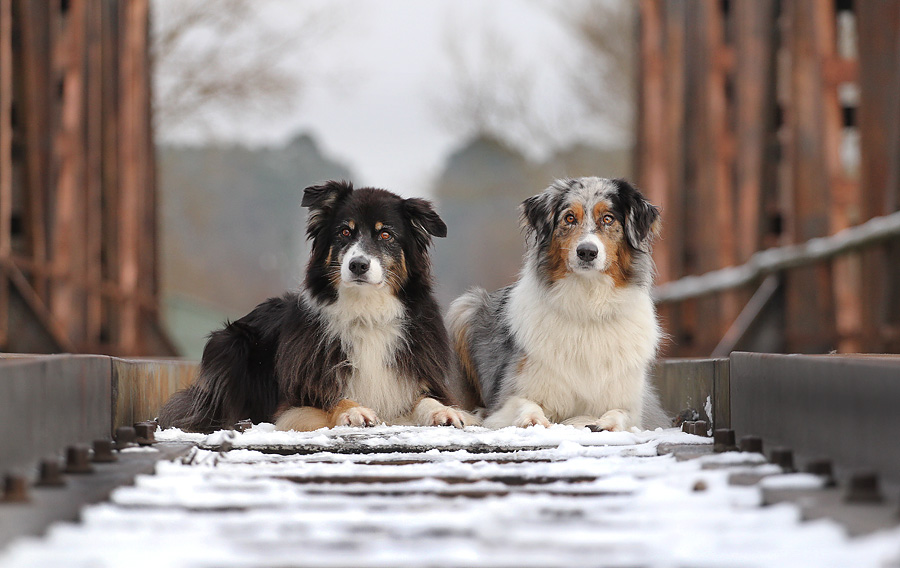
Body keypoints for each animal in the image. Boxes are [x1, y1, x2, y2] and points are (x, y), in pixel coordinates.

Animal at [160, 180, 478, 432]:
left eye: (386, 234)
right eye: (345, 232)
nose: (358, 265)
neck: (365, 311)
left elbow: (427, 399)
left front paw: (444, 411)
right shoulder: (292, 404)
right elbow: (332, 397)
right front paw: (353, 410)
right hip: (229, 342)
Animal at [450, 178, 668, 430]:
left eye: (608, 218)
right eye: (570, 218)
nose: (587, 252)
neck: (588, 304)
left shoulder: (631, 405)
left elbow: (621, 414)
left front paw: (604, 422)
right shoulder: (509, 398)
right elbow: (525, 405)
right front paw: (533, 419)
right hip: (465, 306)